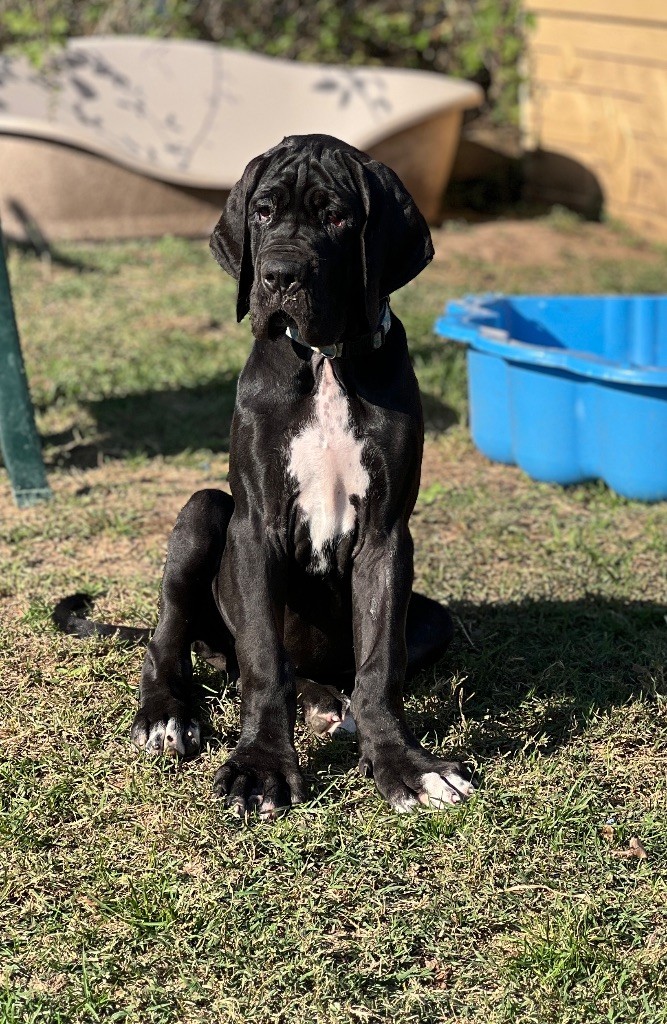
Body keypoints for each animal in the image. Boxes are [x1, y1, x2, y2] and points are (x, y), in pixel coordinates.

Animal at [55, 134, 473, 817]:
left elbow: (380, 661)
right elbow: (263, 662)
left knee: (342, 668)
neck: (325, 363)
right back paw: (169, 714)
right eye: (263, 212)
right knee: (172, 639)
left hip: (431, 615)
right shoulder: (256, 529)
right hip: (203, 515)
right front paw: (261, 766)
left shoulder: (387, 538)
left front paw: (405, 766)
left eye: (337, 217)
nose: (280, 276)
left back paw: (329, 702)